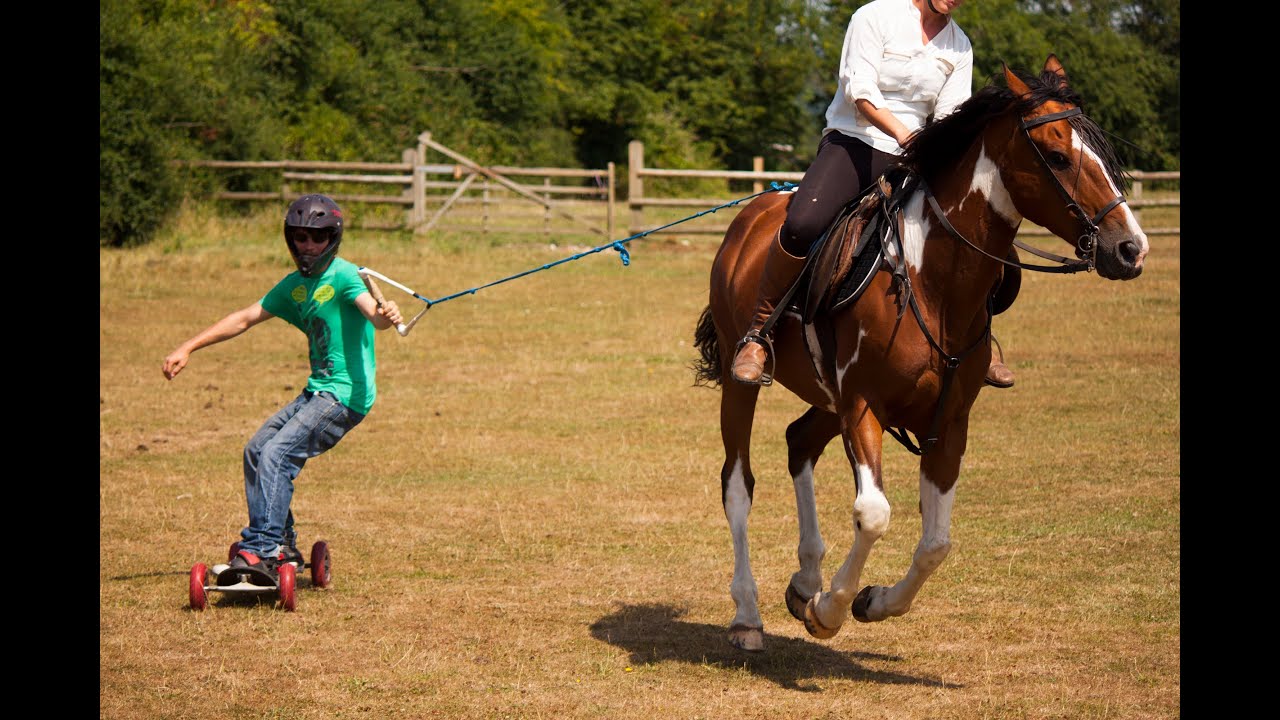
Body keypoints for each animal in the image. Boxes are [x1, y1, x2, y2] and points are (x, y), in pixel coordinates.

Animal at [691, 55, 1149, 652]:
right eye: (1056, 154)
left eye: (1103, 151)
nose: (1131, 248)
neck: (929, 282)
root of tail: (749, 220)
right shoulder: (863, 407)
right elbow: (873, 514)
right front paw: (830, 610)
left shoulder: (947, 422)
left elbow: (936, 544)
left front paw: (868, 601)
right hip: (744, 384)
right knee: (738, 484)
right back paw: (748, 614)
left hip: (827, 398)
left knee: (798, 442)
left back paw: (805, 578)